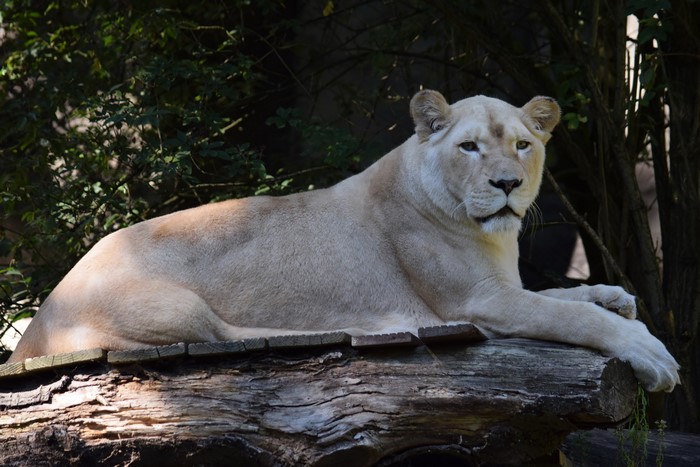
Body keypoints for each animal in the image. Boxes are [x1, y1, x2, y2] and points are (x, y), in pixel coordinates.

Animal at [8, 90, 680, 392]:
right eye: (468, 147)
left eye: (522, 144)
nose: (508, 184)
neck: (490, 236)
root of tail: (33, 330)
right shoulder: (477, 303)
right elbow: (573, 318)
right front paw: (652, 354)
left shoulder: (504, 286)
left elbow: (570, 297)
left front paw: (615, 294)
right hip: (176, 306)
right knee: (221, 334)